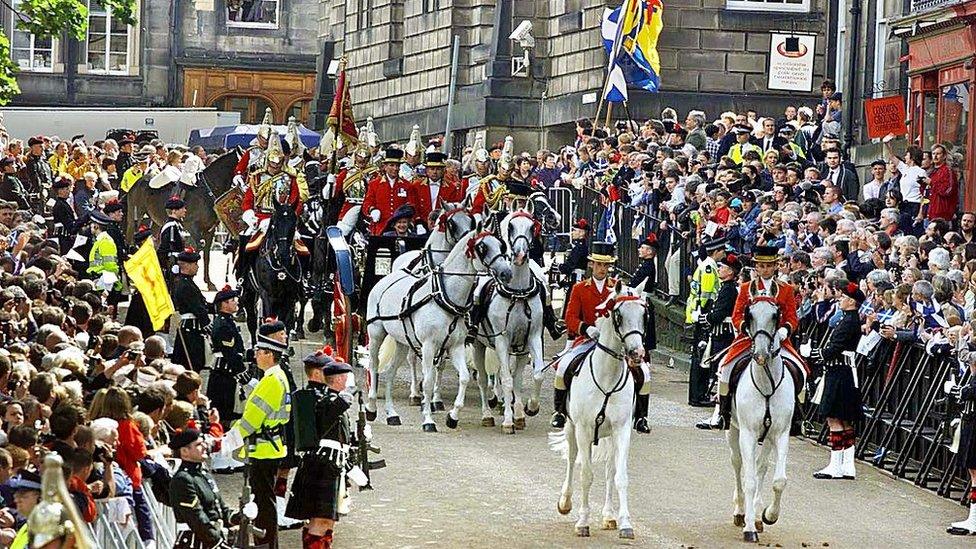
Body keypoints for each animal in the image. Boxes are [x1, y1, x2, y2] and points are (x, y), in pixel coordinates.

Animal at [124, 146, 242, 292]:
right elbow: (198, 247)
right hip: (136, 218)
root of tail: (137, 183)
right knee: (131, 240)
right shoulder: (192, 227)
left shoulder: (210, 230)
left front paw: (209, 282)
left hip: (157, 223)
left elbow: (206, 254)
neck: (206, 191)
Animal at [366, 228, 516, 432]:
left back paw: (392, 414)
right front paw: (428, 419)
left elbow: (464, 377)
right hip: (376, 333)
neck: (445, 298)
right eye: (482, 247)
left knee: (390, 373)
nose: (506, 273)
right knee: (373, 365)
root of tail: (388, 277)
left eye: (501, 246)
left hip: (402, 341)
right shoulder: (428, 346)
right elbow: (428, 382)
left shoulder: (456, 346)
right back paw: (371, 408)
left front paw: (452, 416)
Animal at [468, 206, 544, 432]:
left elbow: (532, 376)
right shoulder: (501, 340)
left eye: (532, 226)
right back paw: (487, 414)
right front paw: (509, 420)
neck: (518, 293)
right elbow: (507, 379)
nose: (519, 255)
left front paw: (527, 409)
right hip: (478, 344)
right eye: (510, 226)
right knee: (484, 379)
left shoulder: (531, 339)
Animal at [552, 282, 644, 540]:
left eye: (644, 314)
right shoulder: (584, 429)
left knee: (610, 469)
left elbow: (620, 476)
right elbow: (586, 475)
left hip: (610, 435)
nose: (637, 354)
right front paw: (583, 522)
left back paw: (609, 516)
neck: (607, 376)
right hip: (571, 428)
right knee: (572, 459)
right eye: (619, 315)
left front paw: (625, 523)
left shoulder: (622, 430)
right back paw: (565, 502)